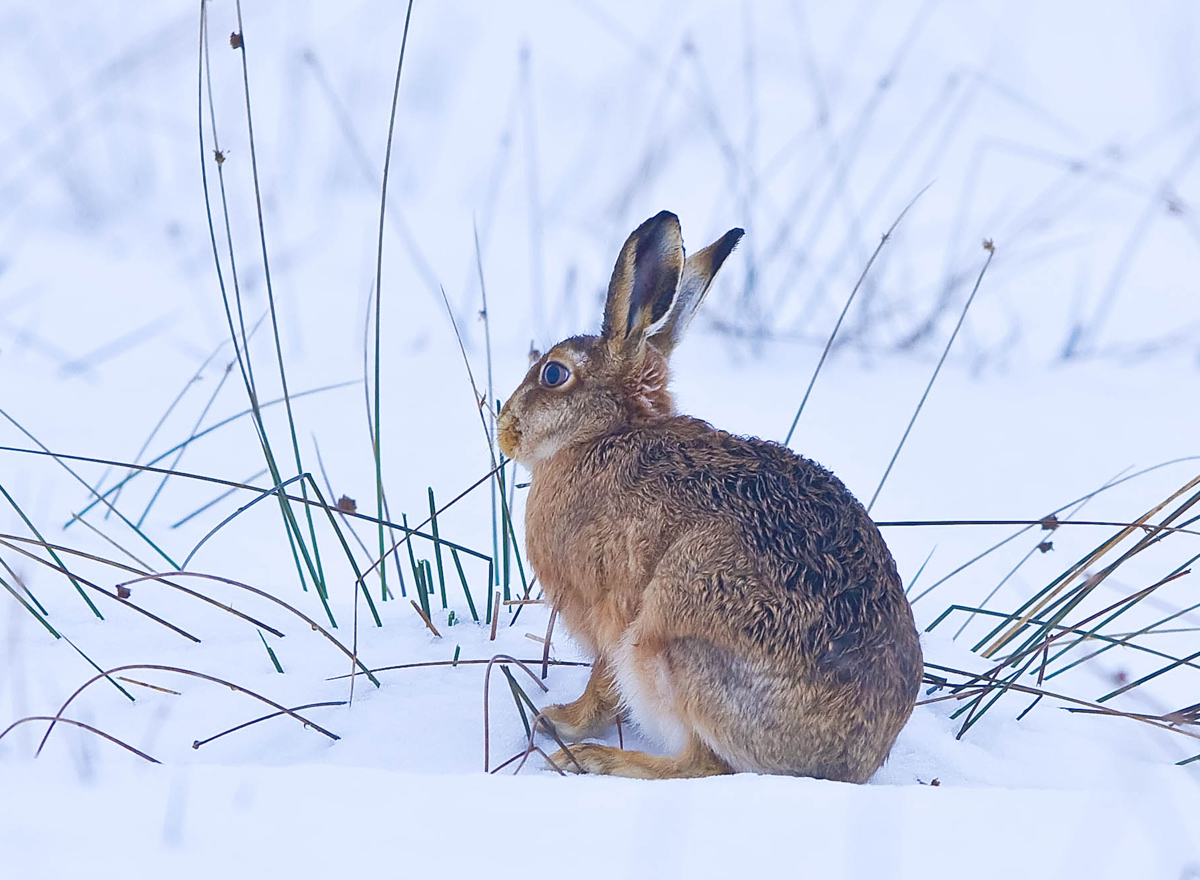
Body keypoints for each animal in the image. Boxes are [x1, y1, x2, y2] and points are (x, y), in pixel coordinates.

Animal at [497, 211, 922, 783]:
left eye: (554, 373)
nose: (505, 429)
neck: (608, 434)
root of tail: (845, 760)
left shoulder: (610, 616)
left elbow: (601, 682)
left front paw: (559, 721)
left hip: (671, 646)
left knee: (702, 767)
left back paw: (592, 758)